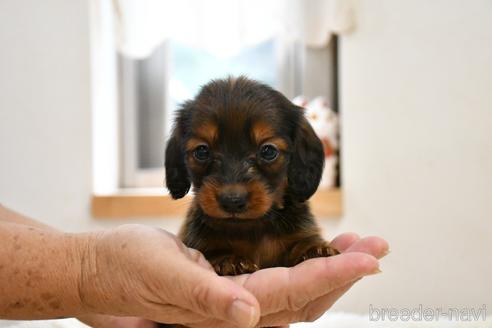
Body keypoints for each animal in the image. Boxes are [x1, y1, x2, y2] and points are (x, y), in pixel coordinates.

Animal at [164, 76, 338, 276]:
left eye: (268, 151)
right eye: (201, 151)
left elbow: (303, 240)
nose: (232, 201)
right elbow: (212, 249)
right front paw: (229, 259)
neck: (251, 228)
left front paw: (314, 249)